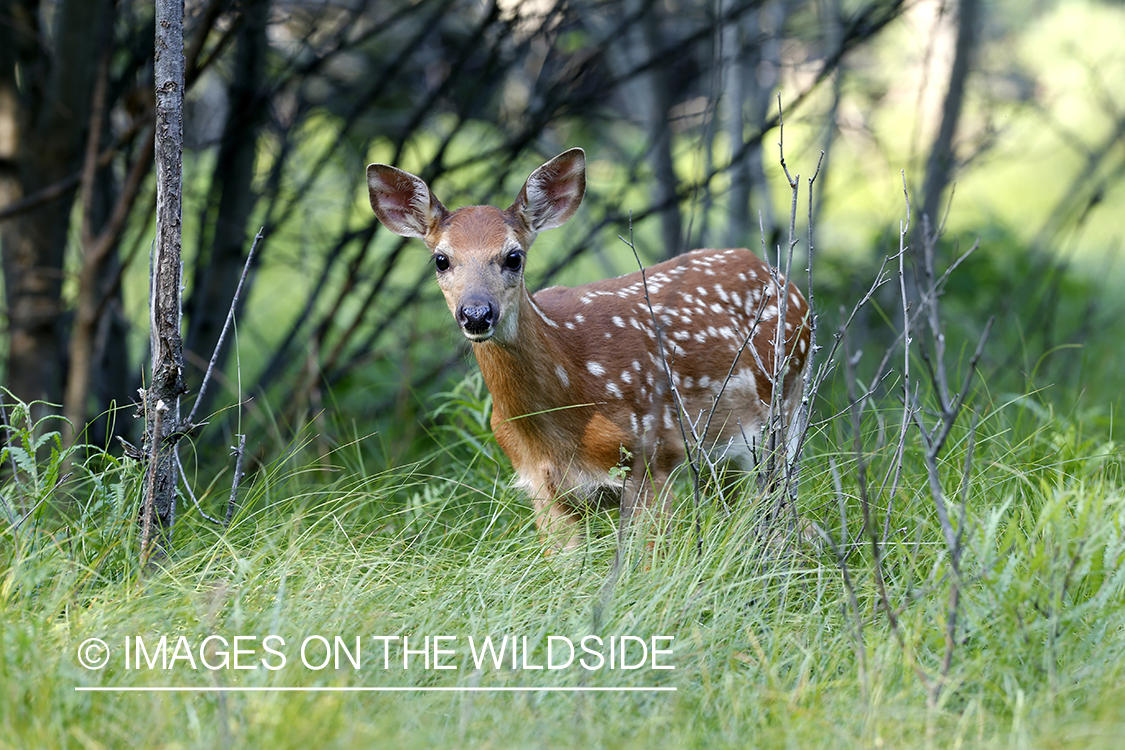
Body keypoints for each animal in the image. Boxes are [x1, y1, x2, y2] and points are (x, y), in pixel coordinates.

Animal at [366, 148, 810, 551]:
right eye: (441, 260)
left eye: (514, 257)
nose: (476, 313)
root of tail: (777, 273)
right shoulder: (540, 487)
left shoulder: (653, 457)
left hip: (784, 409)